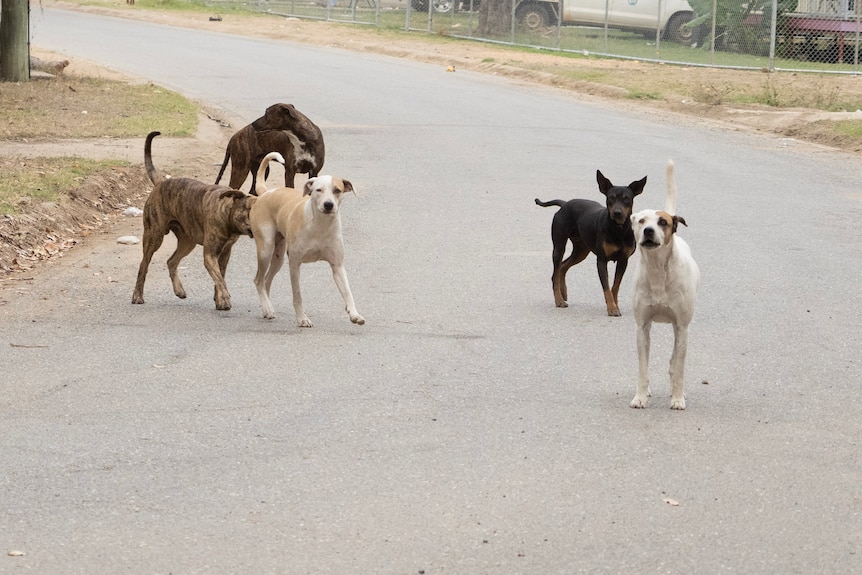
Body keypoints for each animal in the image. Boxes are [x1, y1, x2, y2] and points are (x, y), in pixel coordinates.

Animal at [132, 132, 256, 310]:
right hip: (153, 237)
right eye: (250, 210)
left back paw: (179, 290)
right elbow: (220, 279)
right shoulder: (210, 255)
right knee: (143, 265)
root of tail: (160, 182)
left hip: (187, 242)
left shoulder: (225, 253)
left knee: (171, 261)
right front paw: (224, 298)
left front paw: (219, 299)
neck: (227, 213)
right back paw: (137, 296)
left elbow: (220, 277)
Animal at [246, 155, 364, 328]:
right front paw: (302, 318)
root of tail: (267, 192)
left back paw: (266, 307)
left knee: (266, 281)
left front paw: (355, 315)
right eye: (318, 190)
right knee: (258, 280)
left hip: (278, 257)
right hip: (265, 249)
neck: (320, 225)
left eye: (337, 190)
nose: (328, 205)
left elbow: (348, 293)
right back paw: (267, 308)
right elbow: (298, 295)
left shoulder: (337, 266)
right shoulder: (295, 264)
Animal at [536, 169, 644, 318]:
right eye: (610, 198)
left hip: (581, 251)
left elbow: (615, 286)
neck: (618, 229)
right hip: (559, 246)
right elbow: (606, 287)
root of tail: (565, 204)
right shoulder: (601, 260)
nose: (617, 213)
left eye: (626, 198)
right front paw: (612, 308)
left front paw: (615, 305)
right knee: (555, 274)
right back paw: (559, 300)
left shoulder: (623, 260)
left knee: (563, 266)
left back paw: (564, 293)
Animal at [636, 159, 704, 410]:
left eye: (662, 222)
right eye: (641, 221)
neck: (658, 271)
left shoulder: (682, 327)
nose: (648, 231)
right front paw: (640, 397)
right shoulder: (642, 327)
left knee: (674, 362)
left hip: (679, 330)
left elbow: (679, 368)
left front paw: (677, 398)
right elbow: (643, 369)